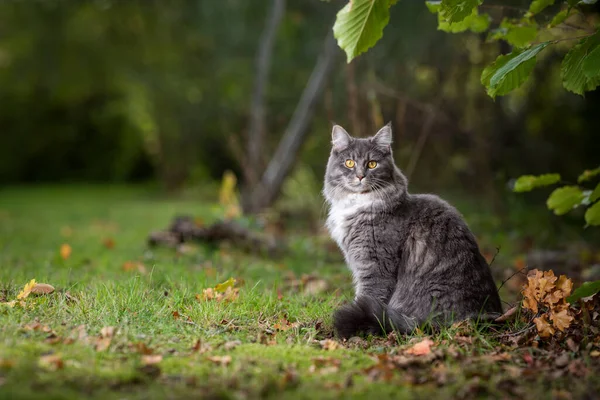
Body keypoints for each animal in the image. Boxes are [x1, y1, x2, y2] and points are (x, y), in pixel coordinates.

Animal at [324, 123, 502, 340]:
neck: (358, 204)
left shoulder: (375, 265)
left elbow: (366, 297)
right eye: (349, 163)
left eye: (372, 164)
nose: (360, 176)